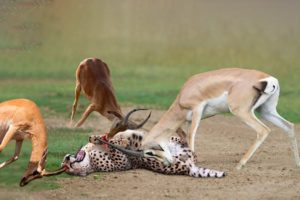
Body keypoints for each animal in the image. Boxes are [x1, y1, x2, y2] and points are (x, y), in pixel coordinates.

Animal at [61, 130, 225, 177]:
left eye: (64, 163)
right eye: (65, 167)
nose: (67, 158)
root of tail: (189, 165)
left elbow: (108, 138)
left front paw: (99, 137)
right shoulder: (123, 163)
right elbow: (117, 149)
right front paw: (121, 142)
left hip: (174, 142)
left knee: (182, 140)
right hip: (159, 161)